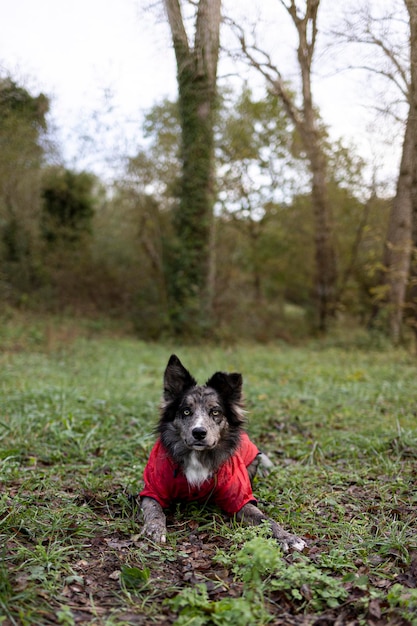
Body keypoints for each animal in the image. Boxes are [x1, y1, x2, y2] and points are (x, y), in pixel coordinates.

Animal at [140, 354, 306, 548]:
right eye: (186, 411)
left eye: (215, 412)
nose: (199, 432)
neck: (198, 456)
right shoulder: (152, 490)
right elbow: (154, 509)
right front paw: (155, 529)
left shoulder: (240, 497)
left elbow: (264, 518)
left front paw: (287, 536)